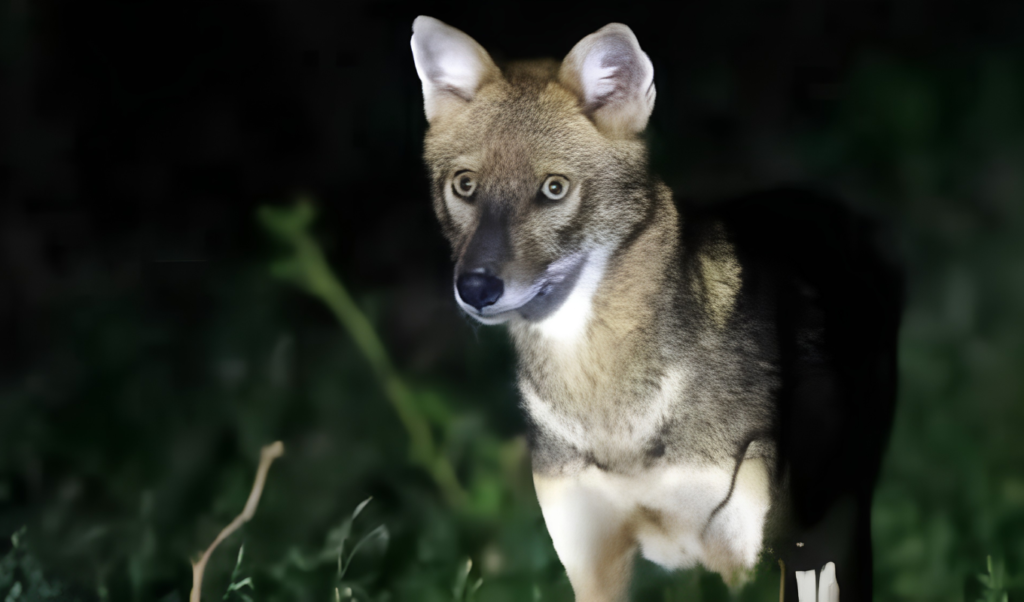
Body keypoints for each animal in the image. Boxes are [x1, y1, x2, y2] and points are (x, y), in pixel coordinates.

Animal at [410, 16, 902, 602]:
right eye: (465, 186)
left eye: (553, 189)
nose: (476, 287)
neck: (605, 412)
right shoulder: (590, 560)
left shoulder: (742, 560)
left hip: (823, 536)